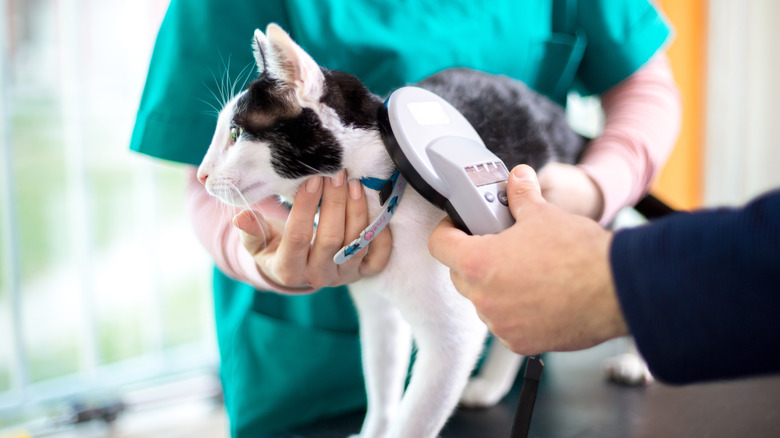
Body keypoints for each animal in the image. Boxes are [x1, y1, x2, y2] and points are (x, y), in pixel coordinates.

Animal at [197, 24, 584, 438]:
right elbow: (383, 390)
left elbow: (413, 420)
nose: (201, 174)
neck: (381, 195)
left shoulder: (453, 340)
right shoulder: (379, 315)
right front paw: (373, 429)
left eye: (235, 133)